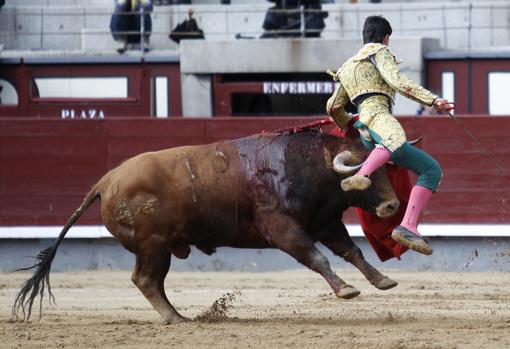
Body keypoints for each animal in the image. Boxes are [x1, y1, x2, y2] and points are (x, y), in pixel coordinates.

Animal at [11, 128, 400, 324]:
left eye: (385, 169)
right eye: (366, 173)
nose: (392, 205)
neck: (308, 165)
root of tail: (105, 182)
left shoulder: (325, 223)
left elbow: (352, 250)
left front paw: (382, 280)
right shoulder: (282, 230)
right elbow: (317, 257)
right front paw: (346, 289)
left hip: (160, 247)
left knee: (151, 281)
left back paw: (179, 315)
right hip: (153, 244)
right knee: (145, 279)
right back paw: (176, 319)